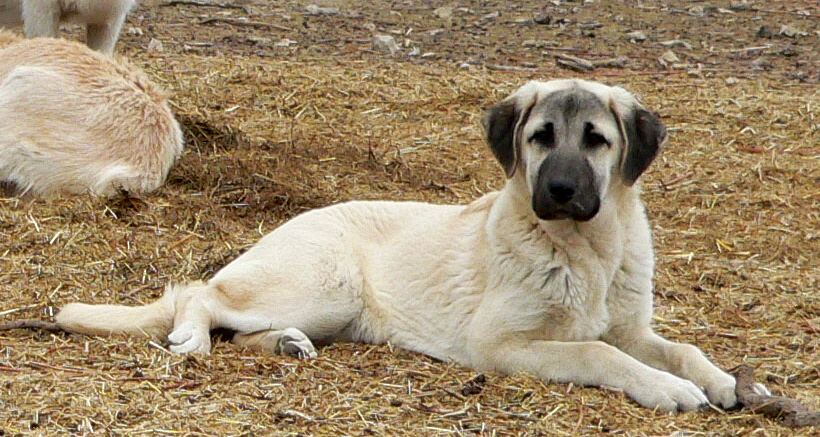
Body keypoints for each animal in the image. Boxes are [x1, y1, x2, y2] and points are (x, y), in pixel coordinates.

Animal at [56, 79, 736, 412]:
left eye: (596, 139)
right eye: (541, 137)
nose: (561, 190)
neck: (584, 248)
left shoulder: (630, 327)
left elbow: (679, 347)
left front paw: (723, 381)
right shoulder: (500, 345)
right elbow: (600, 353)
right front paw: (669, 390)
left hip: (330, 311)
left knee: (239, 327)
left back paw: (284, 345)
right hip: (321, 287)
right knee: (199, 294)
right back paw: (192, 338)